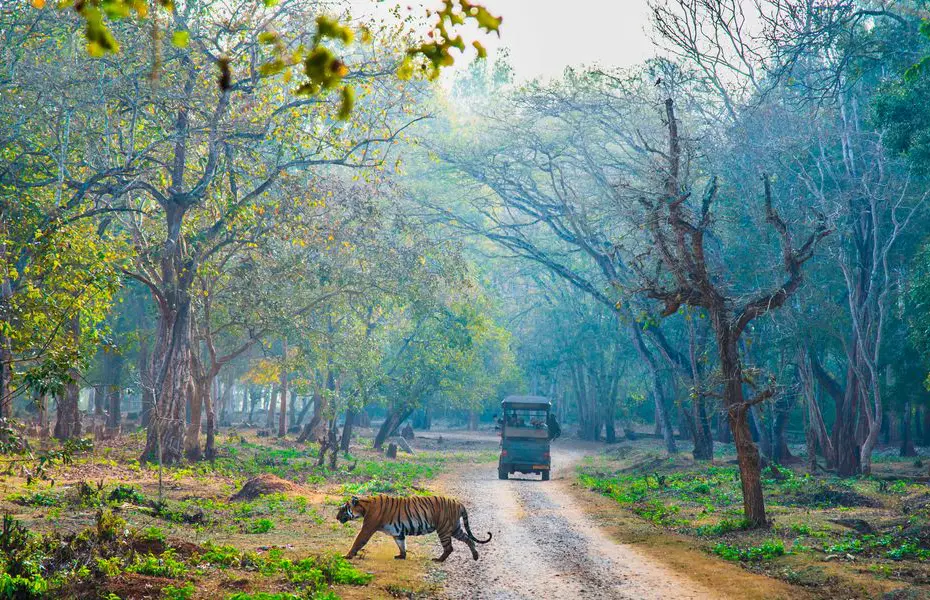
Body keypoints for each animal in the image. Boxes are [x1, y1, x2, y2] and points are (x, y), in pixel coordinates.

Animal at [336, 494, 492, 562]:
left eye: (343, 509)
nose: (336, 517)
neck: (365, 506)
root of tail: (459, 503)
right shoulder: (397, 532)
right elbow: (401, 544)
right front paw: (402, 556)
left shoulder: (367, 528)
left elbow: (358, 541)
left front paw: (347, 555)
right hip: (455, 528)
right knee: (468, 539)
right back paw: (475, 556)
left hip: (443, 529)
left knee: (449, 547)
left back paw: (439, 560)